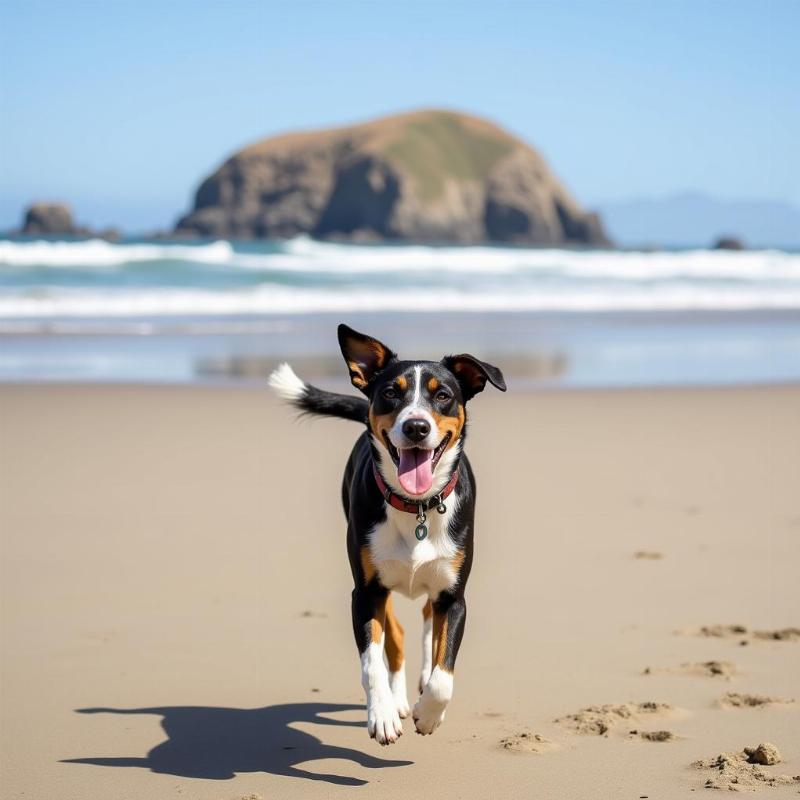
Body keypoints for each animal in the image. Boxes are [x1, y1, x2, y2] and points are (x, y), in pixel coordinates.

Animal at [268, 324, 506, 744]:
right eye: (391, 393)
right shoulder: (365, 593)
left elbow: (444, 674)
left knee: (427, 621)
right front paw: (382, 714)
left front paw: (429, 713)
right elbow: (372, 663)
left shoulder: (454, 596)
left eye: (443, 395)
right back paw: (397, 702)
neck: (417, 506)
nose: (416, 426)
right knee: (395, 635)